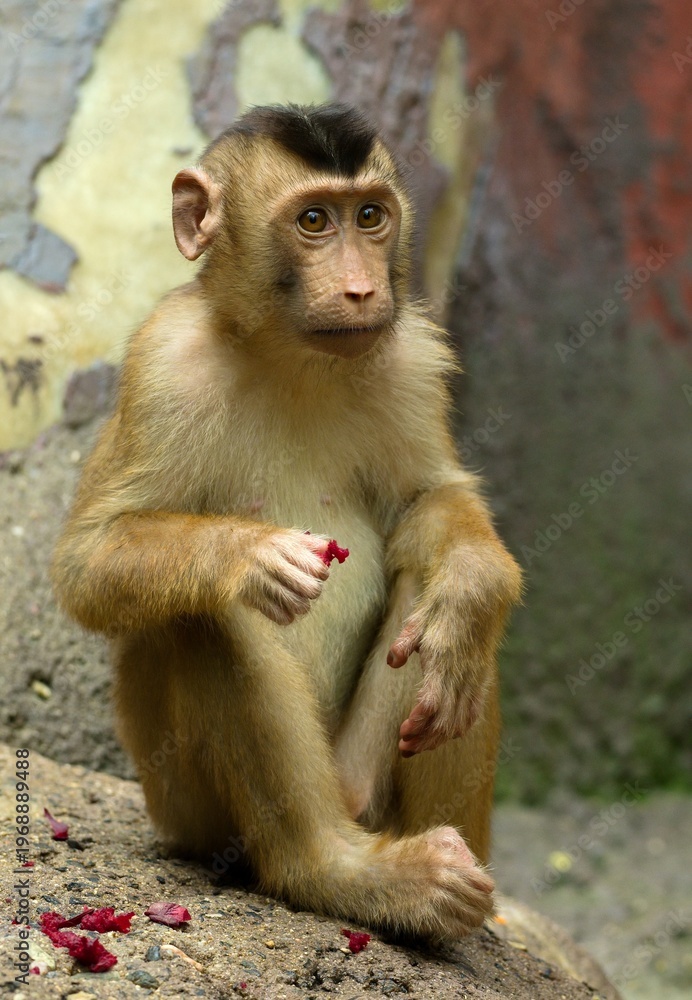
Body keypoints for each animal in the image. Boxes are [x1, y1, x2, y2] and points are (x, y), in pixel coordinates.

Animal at [52, 103, 522, 941]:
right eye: (312, 222)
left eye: (369, 216)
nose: (363, 289)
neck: (290, 356)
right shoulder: (162, 361)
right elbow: (89, 559)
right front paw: (250, 556)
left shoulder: (411, 357)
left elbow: (428, 501)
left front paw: (472, 588)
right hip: (186, 813)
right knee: (204, 616)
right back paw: (338, 872)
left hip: (358, 775)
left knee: (433, 597)